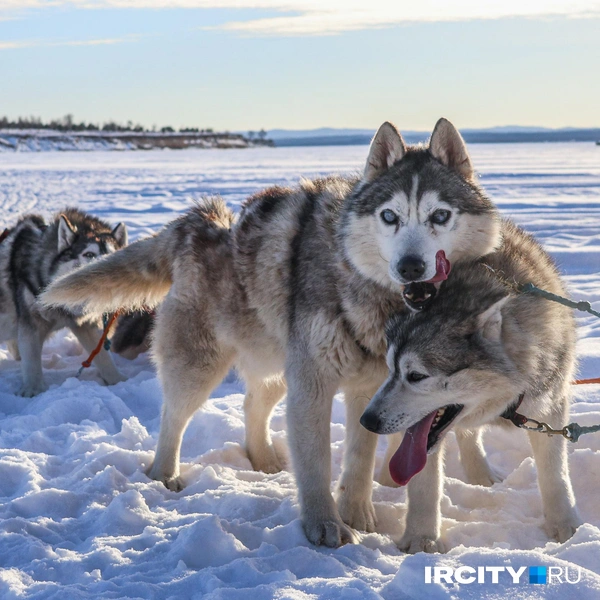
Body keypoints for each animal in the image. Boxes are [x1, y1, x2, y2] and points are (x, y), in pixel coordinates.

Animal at [0, 209, 127, 396]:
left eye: (114, 254)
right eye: (89, 254)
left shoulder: (85, 323)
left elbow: (103, 356)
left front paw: (119, 381)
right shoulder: (31, 325)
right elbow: (31, 363)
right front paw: (32, 391)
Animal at [41, 118, 502, 548]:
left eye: (440, 216)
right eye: (390, 216)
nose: (410, 266)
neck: (378, 302)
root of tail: (200, 223)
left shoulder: (380, 390)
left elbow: (366, 457)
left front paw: (368, 518)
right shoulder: (313, 386)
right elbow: (316, 464)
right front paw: (325, 526)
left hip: (277, 368)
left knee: (251, 404)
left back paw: (260, 459)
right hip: (203, 369)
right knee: (173, 418)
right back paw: (164, 474)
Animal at [360, 219, 580, 552]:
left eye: (416, 376)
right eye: (391, 369)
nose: (368, 421)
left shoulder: (549, 405)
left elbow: (555, 473)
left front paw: (566, 528)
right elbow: (423, 482)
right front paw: (421, 539)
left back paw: (481, 474)